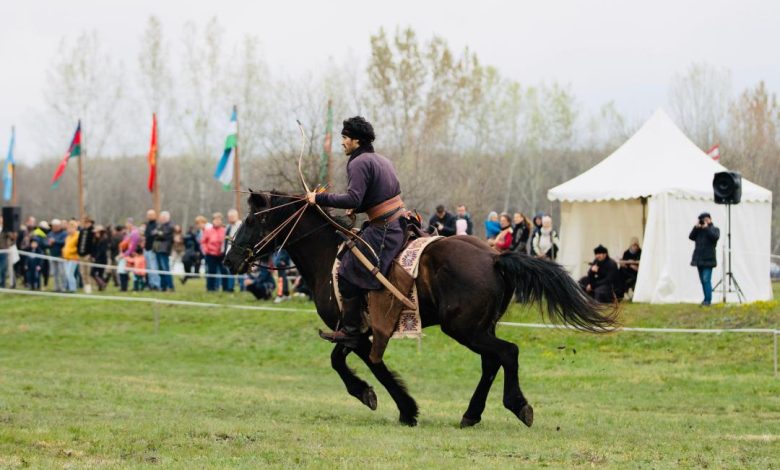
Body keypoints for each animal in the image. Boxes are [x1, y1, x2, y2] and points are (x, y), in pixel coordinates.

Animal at [222, 190, 620, 426]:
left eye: (254, 220)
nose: (229, 259)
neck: (327, 255)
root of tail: (495, 257)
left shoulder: (356, 332)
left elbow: (364, 365)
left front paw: (397, 405)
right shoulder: (356, 332)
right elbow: (343, 360)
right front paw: (381, 398)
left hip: (464, 328)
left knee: (507, 353)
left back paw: (517, 405)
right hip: (480, 328)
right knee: (492, 361)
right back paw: (471, 414)